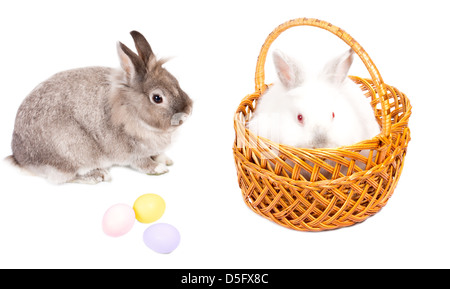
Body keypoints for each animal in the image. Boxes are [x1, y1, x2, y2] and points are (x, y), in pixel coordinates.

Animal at [7, 30, 192, 183]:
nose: (187, 112)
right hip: (73, 150)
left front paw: (166, 159)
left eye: (175, 81)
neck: (130, 108)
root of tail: (20, 158)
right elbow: (143, 162)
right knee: (69, 177)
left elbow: (157, 153)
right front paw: (160, 168)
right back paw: (99, 175)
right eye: (157, 98)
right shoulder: (133, 153)